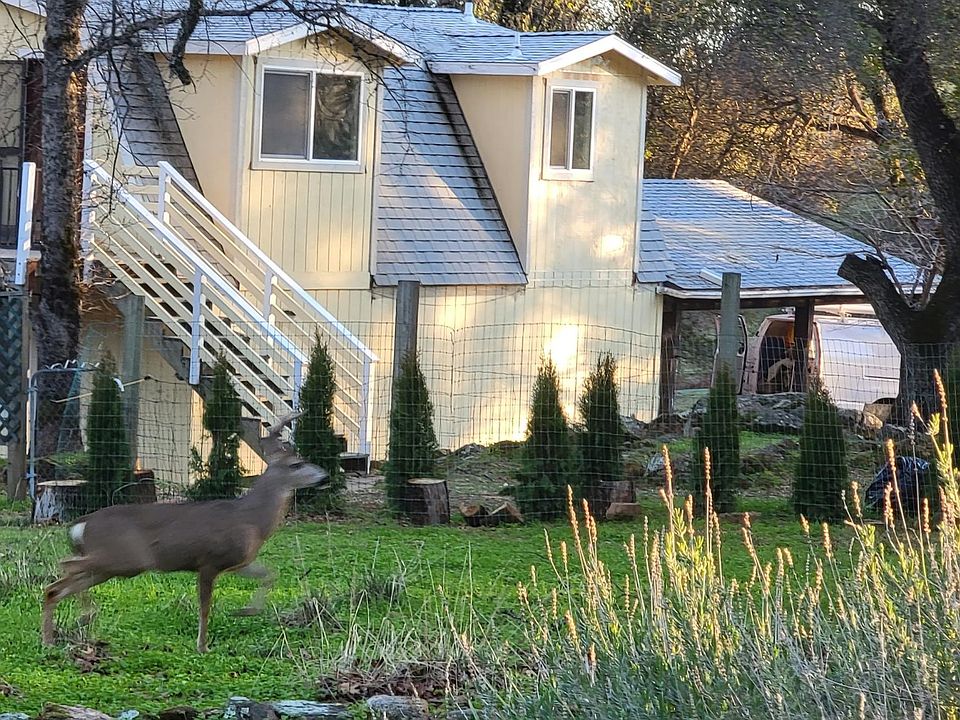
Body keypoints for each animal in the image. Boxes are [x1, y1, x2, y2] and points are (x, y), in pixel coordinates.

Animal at [41, 412, 329, 653]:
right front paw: (202, 646)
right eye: (297, 464)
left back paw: (54, 637)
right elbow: (205, 607)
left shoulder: (237, 562)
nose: (325, 477)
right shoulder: (209, 561)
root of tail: (80, 525)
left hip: (110, 567)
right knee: (65, 567)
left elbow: (270, 574)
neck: (252, 520)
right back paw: (82, 617)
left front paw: (246, 611)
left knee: (58, 587)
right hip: (125, 559)